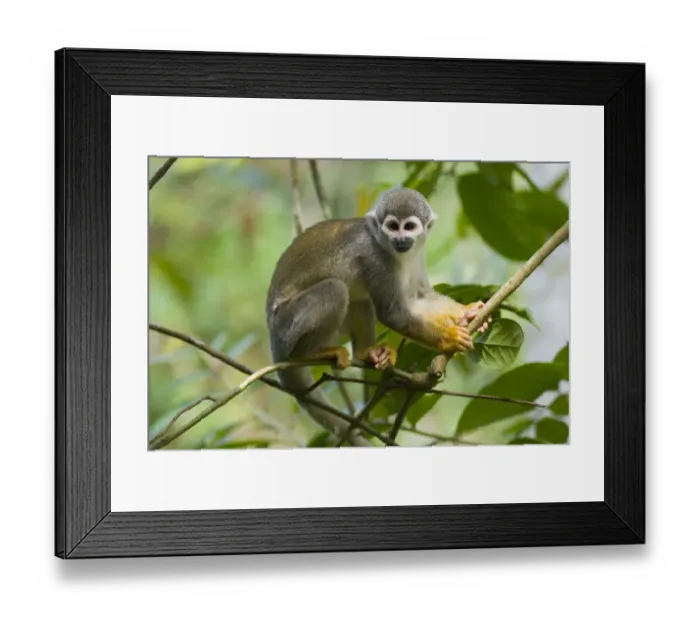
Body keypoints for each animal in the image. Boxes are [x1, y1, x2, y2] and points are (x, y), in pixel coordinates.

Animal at [266, 187, 491, 447]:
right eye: (393, 226)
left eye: (409, 227)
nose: (400, 240)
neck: (393, 251)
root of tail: (273, 339)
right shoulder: (376, 258)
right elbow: (393, 314)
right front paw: (449, 338)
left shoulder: (416, 253)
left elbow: (418, 297)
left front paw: (469, 311)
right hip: (287, 325)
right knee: (337, 290)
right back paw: (308, 354)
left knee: (360, 299)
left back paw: (368, 353)